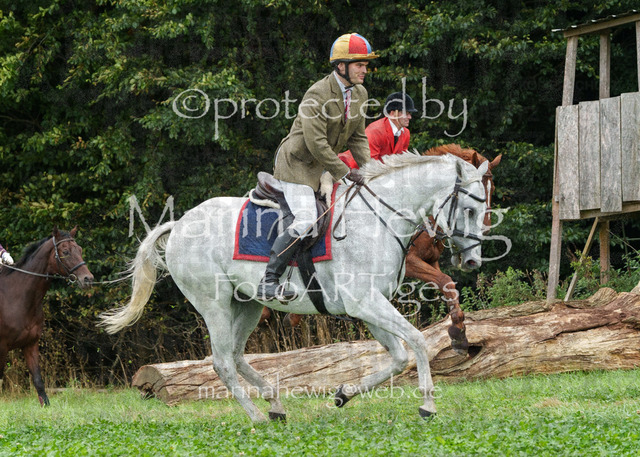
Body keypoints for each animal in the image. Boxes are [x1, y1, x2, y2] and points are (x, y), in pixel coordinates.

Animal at [0, 227, 94, 405]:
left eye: (80, 250)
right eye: (65, 252)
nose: (88, 279)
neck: (17, 298)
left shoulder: (30, 344)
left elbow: (38, 381)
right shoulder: (2, 346)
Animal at [266, 144, 502, 355]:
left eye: (492, 191)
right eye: (470, 208)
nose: (485, 230)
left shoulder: (431, 261)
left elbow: (448, 284)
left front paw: (459, 334)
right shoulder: (412, 263)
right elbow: (445, 281)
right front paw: (457, 332)